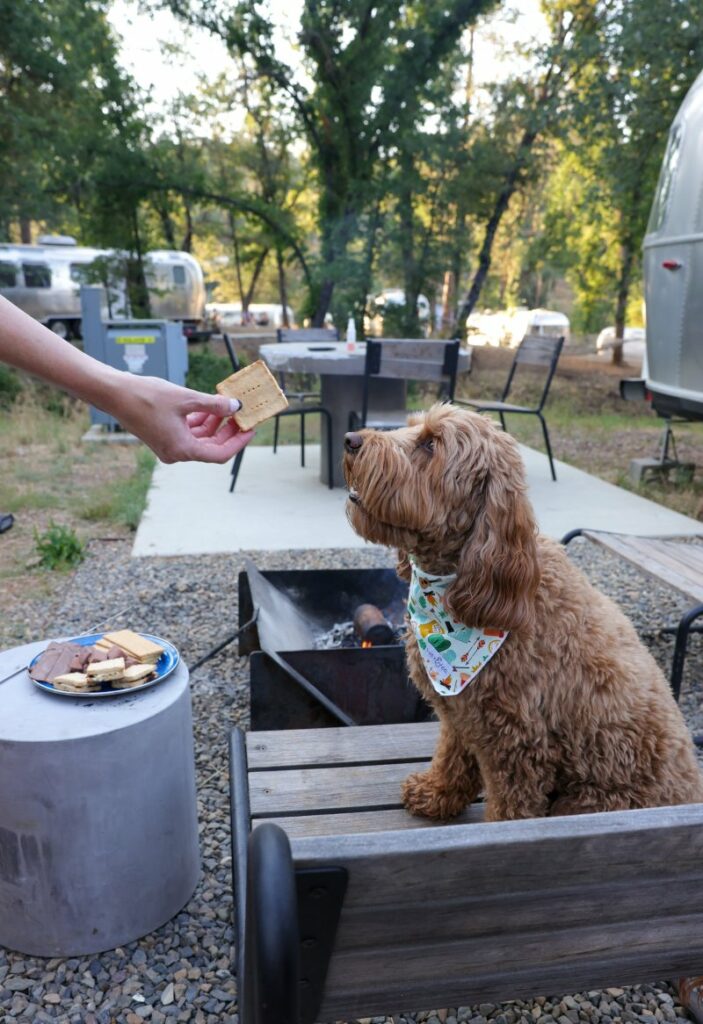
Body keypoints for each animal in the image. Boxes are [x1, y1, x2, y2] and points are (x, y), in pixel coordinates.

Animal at [343, 403, 703, 819]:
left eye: (430, 444)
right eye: (412, 428)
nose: (350, 440)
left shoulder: (517, 745)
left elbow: (509, 809)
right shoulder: (460, 713)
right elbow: (452, 755)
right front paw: (436, 793)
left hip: (588, 800)